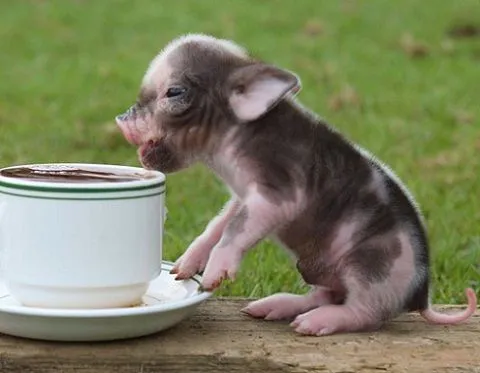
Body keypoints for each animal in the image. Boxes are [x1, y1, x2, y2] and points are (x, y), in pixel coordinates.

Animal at [115, 33, 476, 334]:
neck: (231, 142)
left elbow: (236, 229)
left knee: (364, 312)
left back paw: (309, 325)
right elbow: (219, 224)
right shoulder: (242, 195)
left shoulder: (278, 192)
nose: (120, 120)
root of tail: (421, 294)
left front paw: (214, 278)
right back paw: (267, 309)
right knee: (324, 295)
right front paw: (182, 269)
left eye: (174, 92)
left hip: (376, 268)